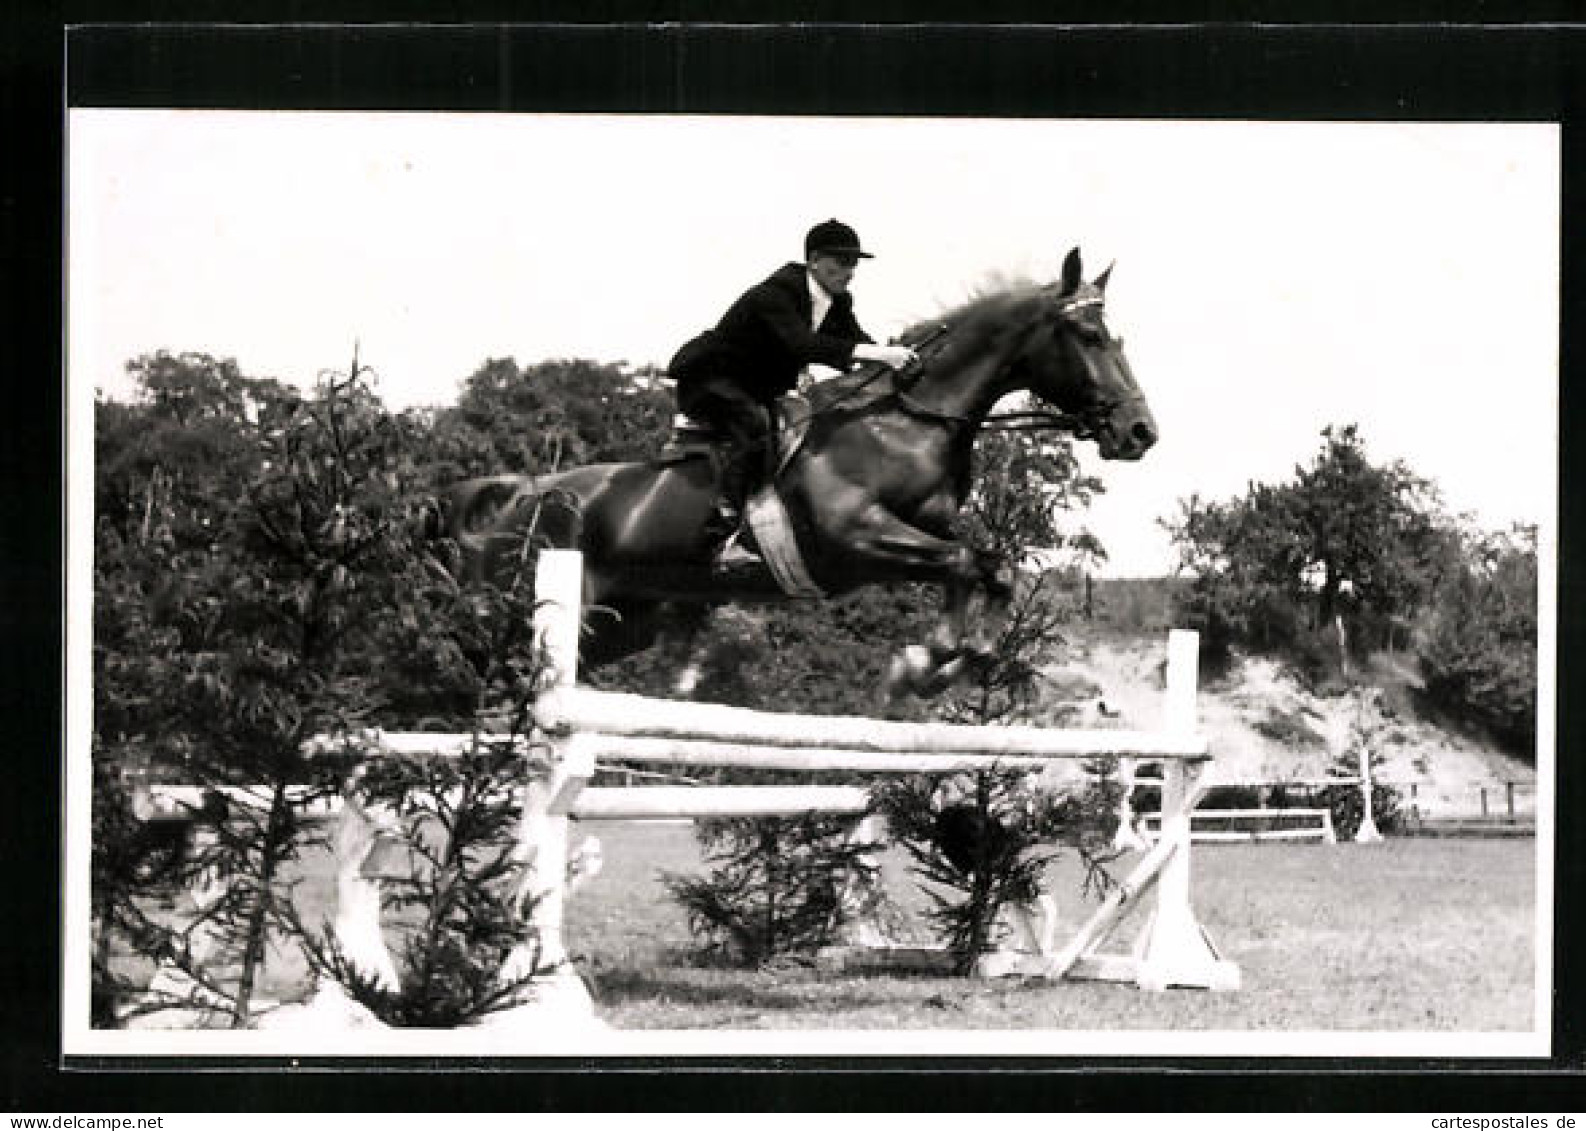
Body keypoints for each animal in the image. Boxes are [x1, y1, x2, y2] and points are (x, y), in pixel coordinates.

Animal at [440, 252, 1160, 701]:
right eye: (1090, 337)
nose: (1140, 433)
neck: (907, 419)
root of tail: (519, 495)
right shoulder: (857, 537)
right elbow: (963, 562)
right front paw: (924, 663)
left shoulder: (917, 535)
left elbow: (989, 564)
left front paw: (944, 661)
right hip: (530, 610)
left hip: (618, 625)